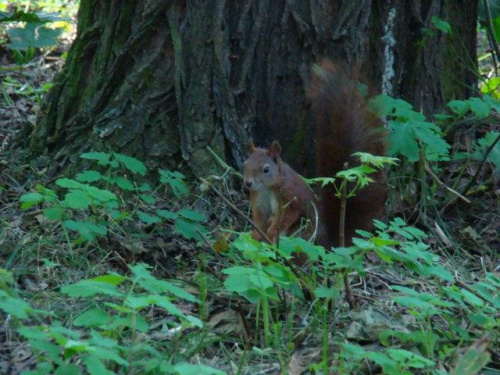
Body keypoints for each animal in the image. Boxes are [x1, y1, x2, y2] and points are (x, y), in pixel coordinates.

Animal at [243, 61, 386, 250]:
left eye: (266, 169)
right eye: (244, 165)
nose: (248, 183)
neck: (268, 187)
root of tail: (328, 245)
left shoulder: (291, 197)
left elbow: (285, 217)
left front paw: (271, 233)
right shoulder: (259, 201)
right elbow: (259, 221)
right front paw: (253, 236)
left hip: (303, 235)